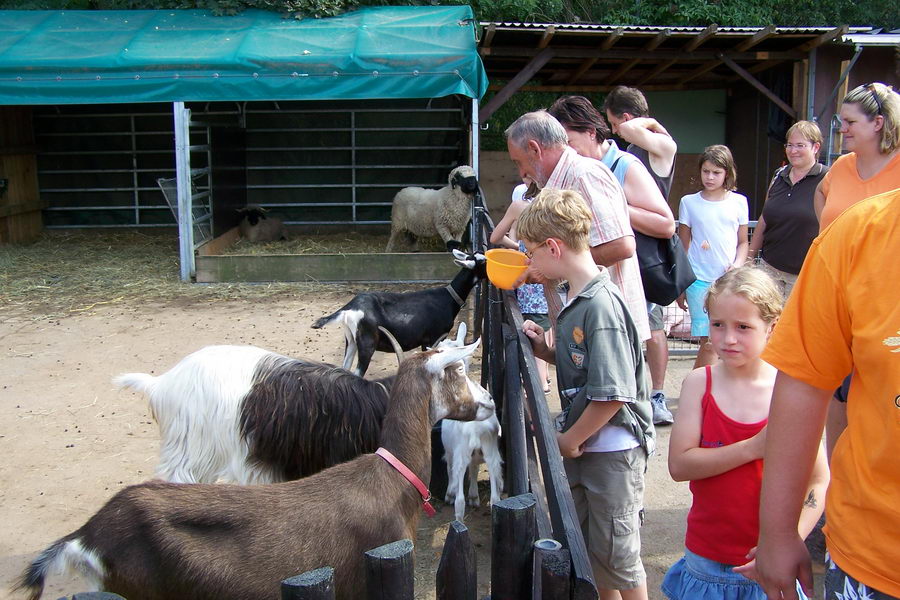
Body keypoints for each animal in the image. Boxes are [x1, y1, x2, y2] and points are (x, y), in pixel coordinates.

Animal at [312, 248, 488, 376]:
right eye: (483, 261)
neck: (448, 298)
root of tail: (350, 308)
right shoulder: (433, 338)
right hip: (367, 344)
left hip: (351, 341)